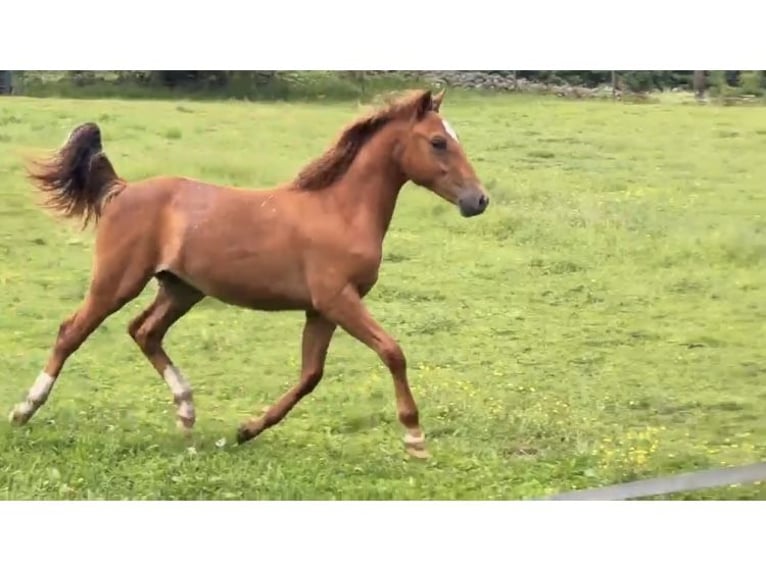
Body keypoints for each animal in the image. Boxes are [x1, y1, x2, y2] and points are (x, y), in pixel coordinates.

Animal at [9, 88, 490, 459]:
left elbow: (310, 376)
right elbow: (392, 352)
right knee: (72, 331)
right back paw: (24, 409)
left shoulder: (321, 309)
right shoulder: (337, 298)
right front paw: (415, 439)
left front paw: (245, 430)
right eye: (438, 142)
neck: (339, 210)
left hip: (182, 289)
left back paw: (186, 411)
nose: (478, 200)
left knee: (144, 331)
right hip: (118, 281)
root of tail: (121, 190)